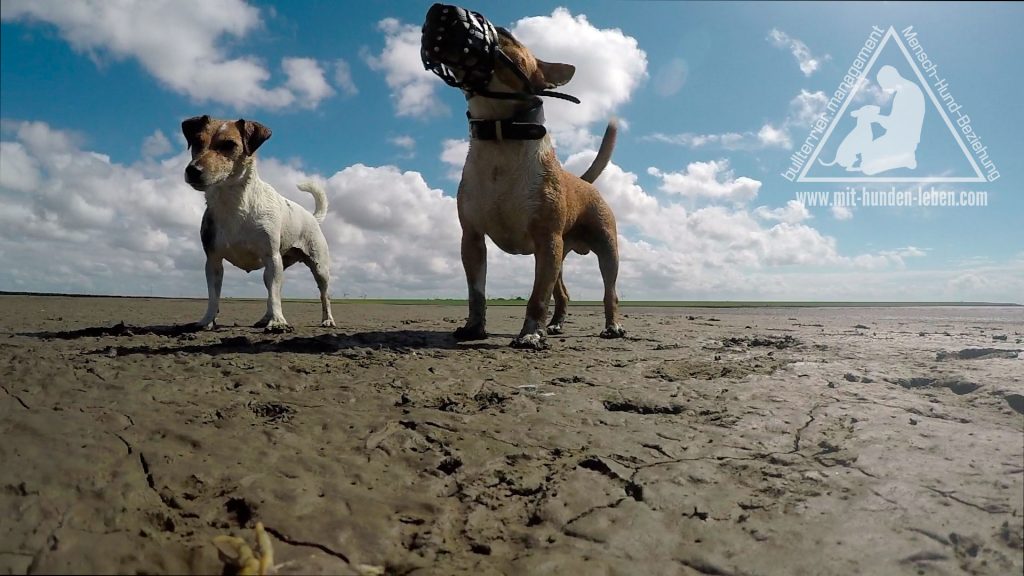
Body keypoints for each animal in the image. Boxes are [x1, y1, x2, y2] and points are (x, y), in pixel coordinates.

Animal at [178, 114, 333, 330]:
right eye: (196, 142)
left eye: (229, 145)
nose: (192, 170)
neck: (234, 202)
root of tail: (312, 217)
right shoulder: (213, 261)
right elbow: (213, 297)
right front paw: (207, 321)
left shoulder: (271, 257)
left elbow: (275, 297)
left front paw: (278, 322)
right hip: (277, 268)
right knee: (272, 291)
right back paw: (265, 319)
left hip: (318, 268)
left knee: (323, 295)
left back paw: (327, 319)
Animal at [423, 6, 622, 348]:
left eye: (504, 33)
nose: (438, 9)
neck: (501, 135)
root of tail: (584, 181)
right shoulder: (472, 239)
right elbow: (476, 292)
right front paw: (474, 328)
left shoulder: (547, 239)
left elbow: (537, 296)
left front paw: (530, 334)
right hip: (559, 258)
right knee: (563, 293)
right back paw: (555, 325)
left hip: (604, 251)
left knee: (610, 293)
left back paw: (611, 326)